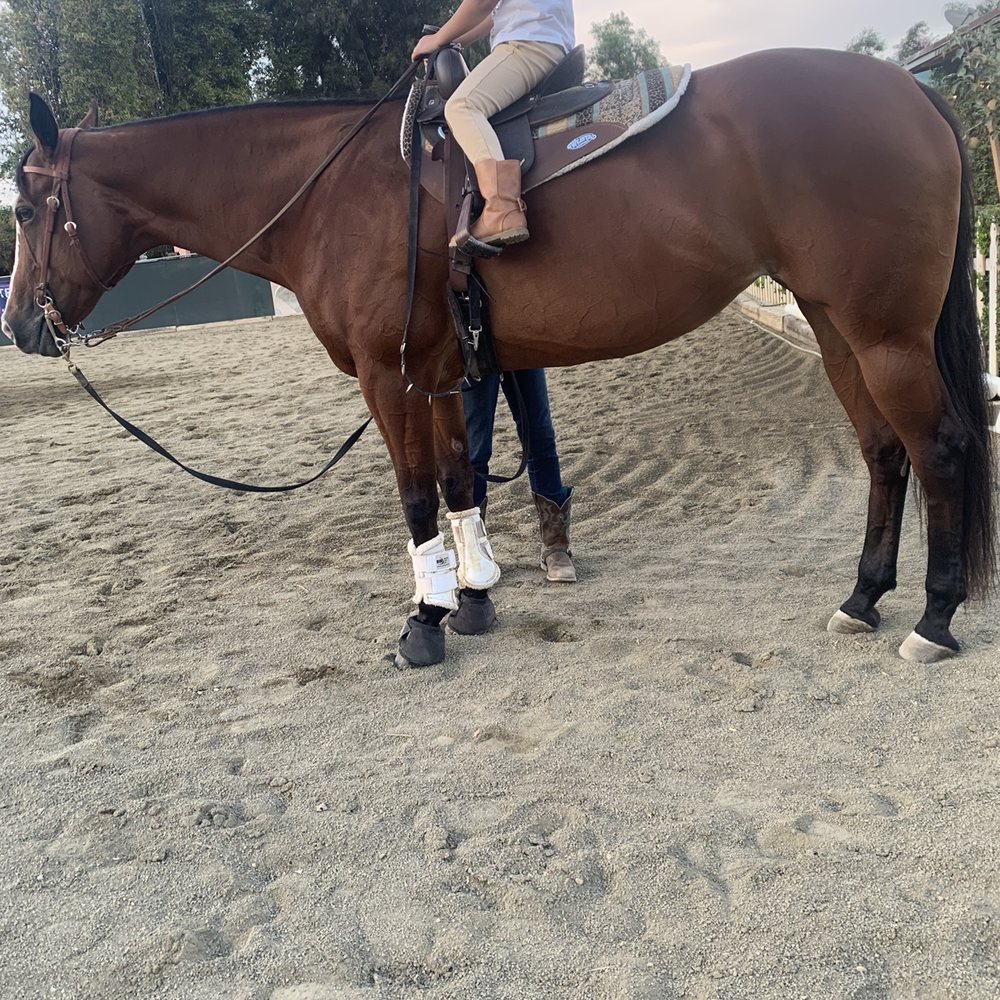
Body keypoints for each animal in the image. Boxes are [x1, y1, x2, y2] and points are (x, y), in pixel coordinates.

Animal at [4, 48, 995, 668]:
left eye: (21, 209)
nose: (19, 325)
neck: (339, 193)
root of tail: (904, 88)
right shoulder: (443, 371)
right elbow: (459, 483)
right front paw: (476, 597)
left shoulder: (389, 376)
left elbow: (414, 498)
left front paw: (425, 620)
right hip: (834, 325)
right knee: (884, 453)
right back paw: (862, 599)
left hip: (884, 333)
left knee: (941, 448)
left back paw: (934, 618)